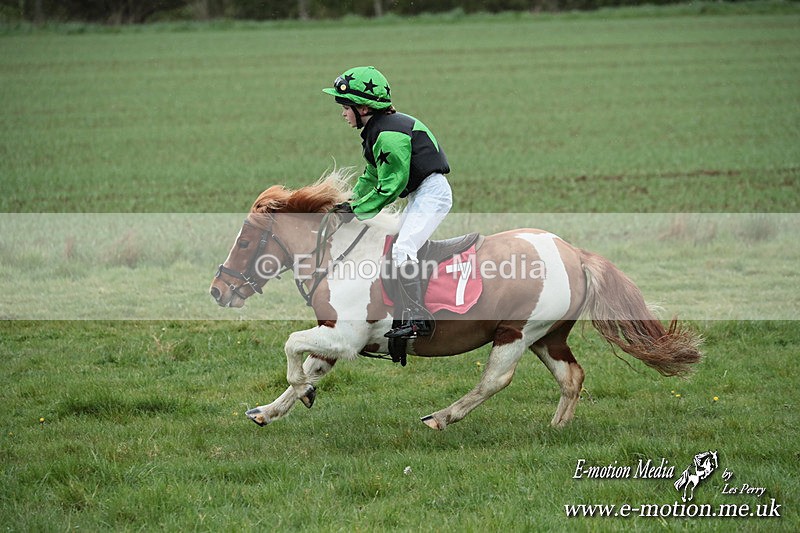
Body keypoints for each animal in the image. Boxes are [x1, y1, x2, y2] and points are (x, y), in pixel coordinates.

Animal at [209, 171, 701, 430]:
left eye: (247, 239)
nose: (218, 290)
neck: (340, 256)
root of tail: (575, 253)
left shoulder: (346, 337)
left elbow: (292, 347)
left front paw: (301, 391)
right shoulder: (335, 335)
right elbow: (309, 365)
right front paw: (271, 409)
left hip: (516, 332)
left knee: (495, 381)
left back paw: (441, 418)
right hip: (547, 336)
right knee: (572, 376)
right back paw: (557, 427)